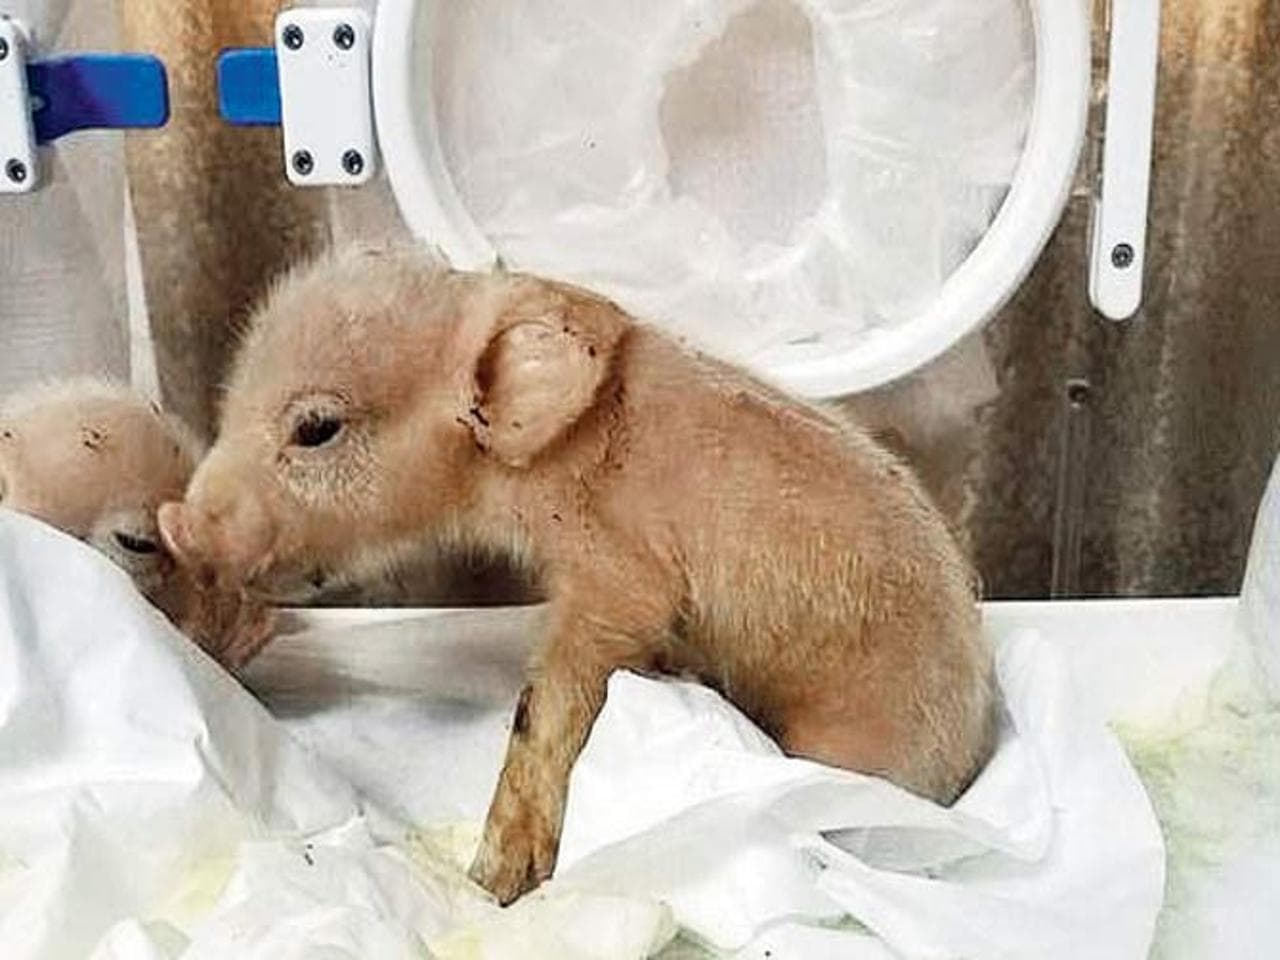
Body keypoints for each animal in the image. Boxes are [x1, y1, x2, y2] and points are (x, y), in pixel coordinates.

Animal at [159, 244, 997, 904]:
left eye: (317, 429)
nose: (176, 522)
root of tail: (971, 745)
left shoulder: (620, 571)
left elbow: (557, 694)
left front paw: (489, 884)